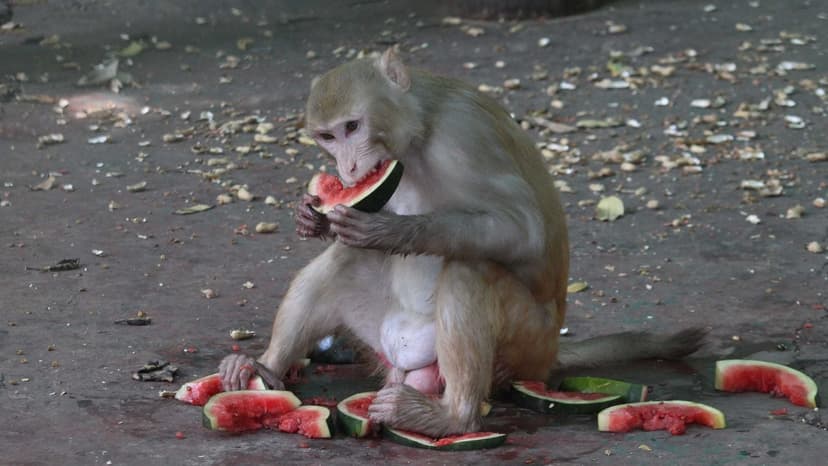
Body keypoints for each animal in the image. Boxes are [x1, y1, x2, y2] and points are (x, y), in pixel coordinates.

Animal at [219, 48, 705, 437]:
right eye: (327, 136)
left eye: (352, 126)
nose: (349, 169)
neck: (416, 133)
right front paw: (309, 215)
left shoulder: (463, 136)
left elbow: (525, 230)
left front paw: (393, 231)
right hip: (382, 333)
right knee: (346, 261)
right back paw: (265, 367)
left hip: (526, 344)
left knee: (471, 268)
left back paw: (453, 417)